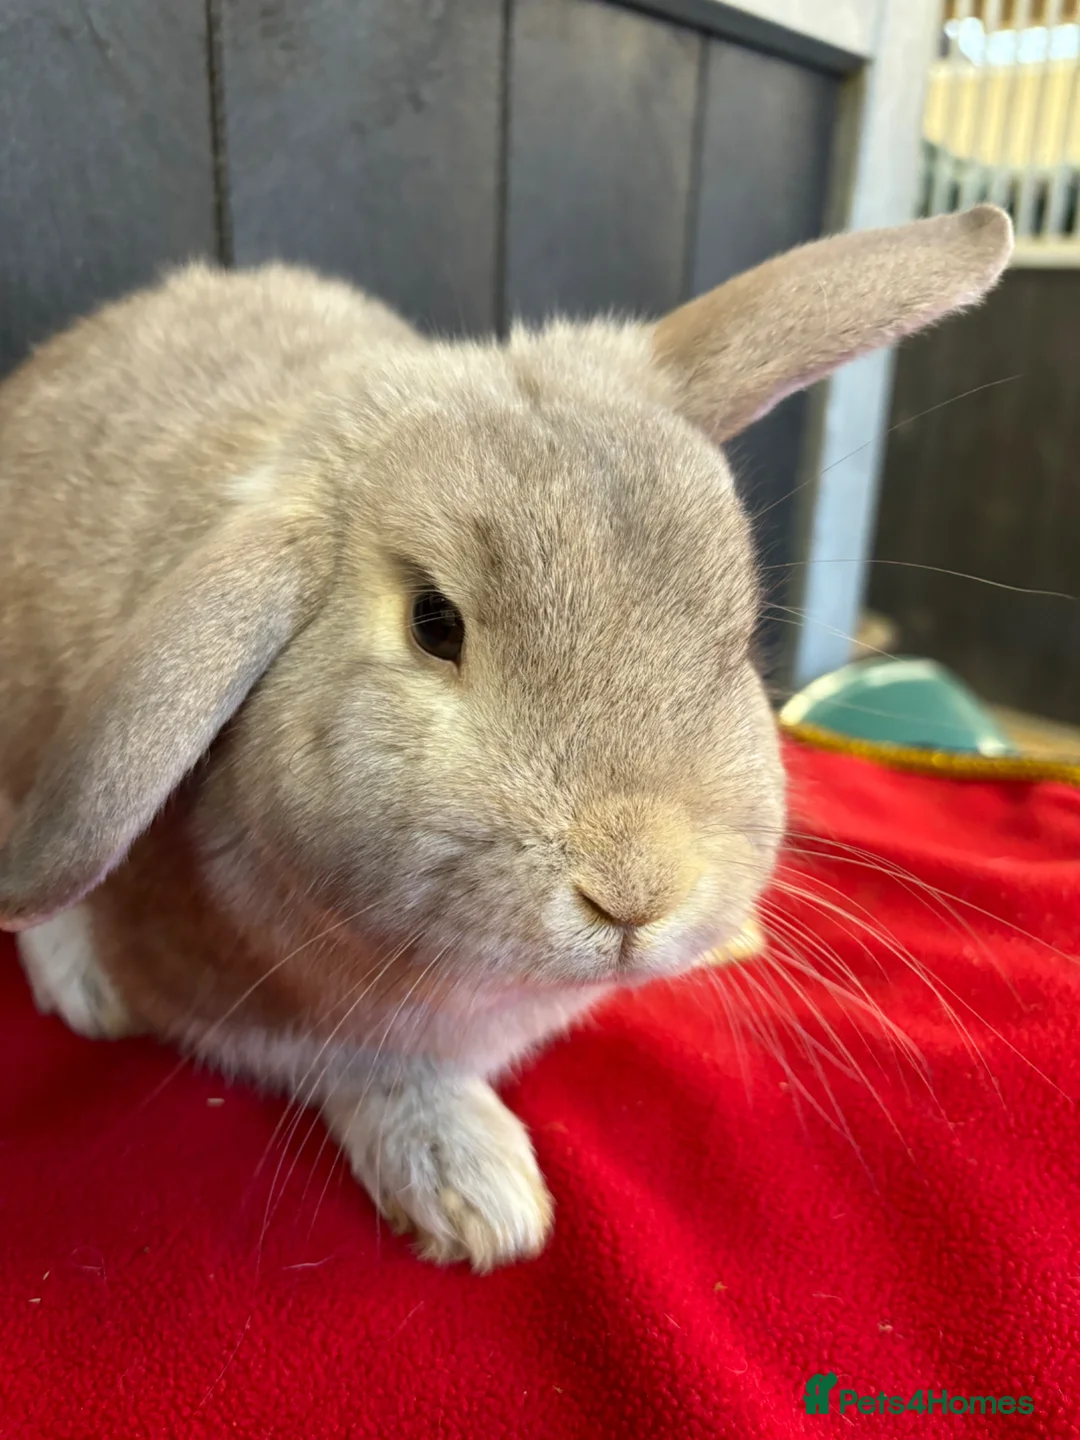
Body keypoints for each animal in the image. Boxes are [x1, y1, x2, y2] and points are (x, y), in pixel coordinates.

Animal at [0, 205, 1012, 1270]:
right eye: (434, 623)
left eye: (737, 637)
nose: (638, 893)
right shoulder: (241, 1003)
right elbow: (367, 1064)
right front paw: (477, 1191)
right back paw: (82, 982)